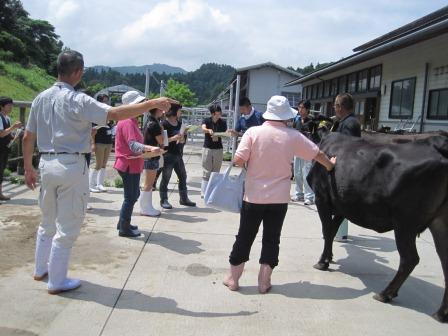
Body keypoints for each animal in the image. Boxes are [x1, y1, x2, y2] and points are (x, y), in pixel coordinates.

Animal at [306, 130, 448, 322]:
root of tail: (436, 143)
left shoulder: (322, 198)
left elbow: (327, 231)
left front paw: (322, 262)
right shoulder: (344, 204)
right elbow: (333, 229)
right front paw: (329, 258)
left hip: (405, 222)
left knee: (409, 258)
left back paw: (385, 294)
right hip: (439, 221)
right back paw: (440, 313)